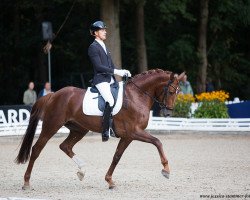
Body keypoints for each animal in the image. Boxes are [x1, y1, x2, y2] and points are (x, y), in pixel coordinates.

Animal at [15, 69, 184, 189]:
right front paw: (166, 170)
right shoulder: (134, 132)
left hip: (79, 129)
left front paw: (109, 181)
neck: (136, 96)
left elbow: (117, 156)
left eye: (177, 92)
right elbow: (157, 141)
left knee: (65, 146)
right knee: (37, 149)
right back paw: (26, 182)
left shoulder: (128, 136)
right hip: (51, 126)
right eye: (170, 91)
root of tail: (53, 94)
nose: (168, 113)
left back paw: (82, 171)